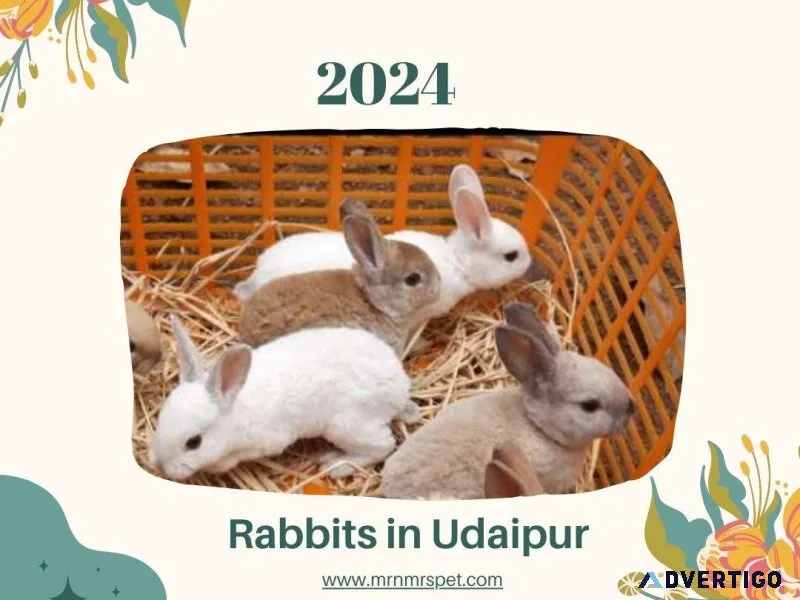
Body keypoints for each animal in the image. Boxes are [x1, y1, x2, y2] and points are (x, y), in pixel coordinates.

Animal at [148, 316, 420, 481]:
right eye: (160, 420)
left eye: (194, 442)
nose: (159, 465)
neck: (235, 410)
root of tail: (401, 384)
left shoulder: (266, 442)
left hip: (349, 425)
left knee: (384, 446)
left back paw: (336, 464)